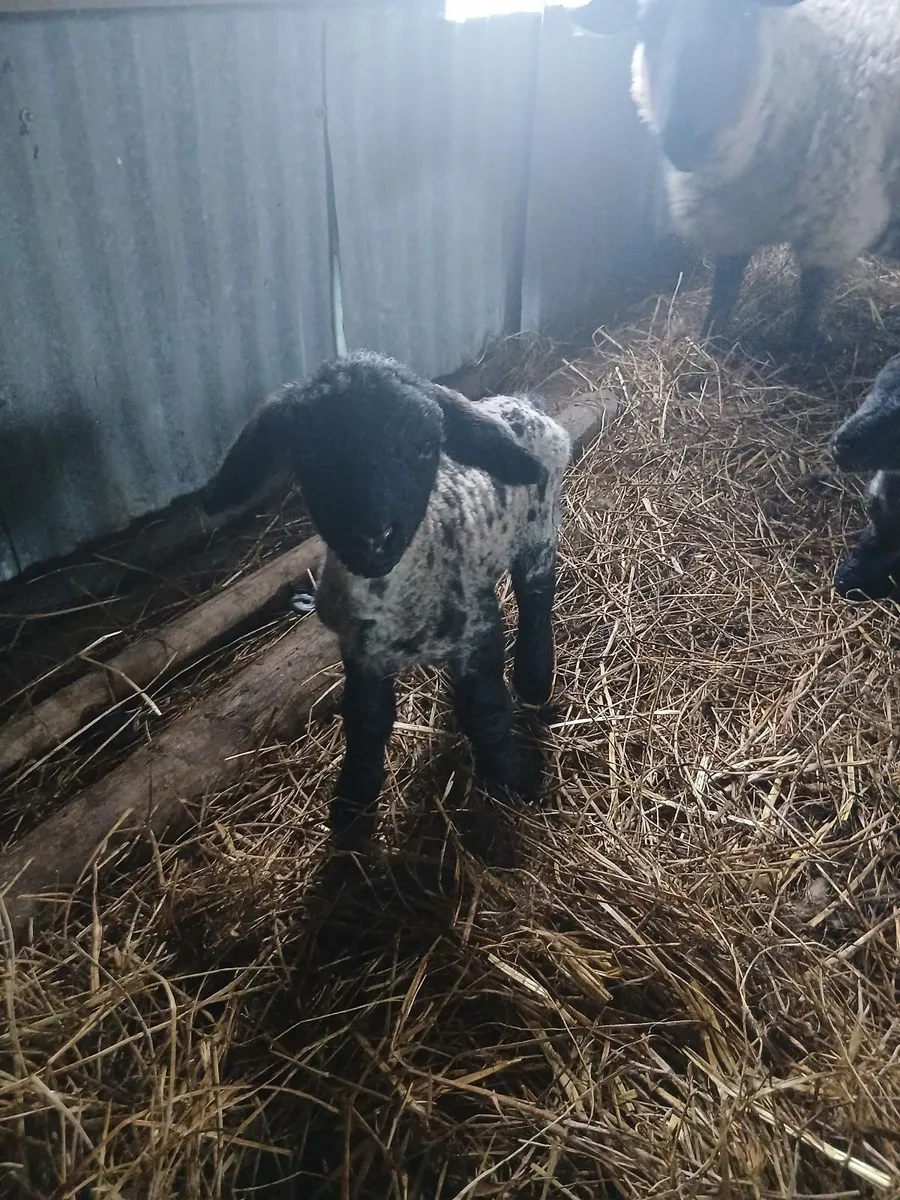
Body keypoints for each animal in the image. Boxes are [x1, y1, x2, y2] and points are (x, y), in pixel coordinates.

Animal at [203, 351, 572, 838]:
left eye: (426, 445)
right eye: (310, 454)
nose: (373, 538)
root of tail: (521, 402)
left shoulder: (477, 631)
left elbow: (486, 708)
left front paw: (511, 776)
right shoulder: (362, 652)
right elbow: (365, 720)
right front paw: (352, 802)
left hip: (540, 527)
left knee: (536, 594)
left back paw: (533, 678)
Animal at [569, 0, 900, 352]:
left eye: (742, 15)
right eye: (647, 24)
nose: (682, 140)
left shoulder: (834, 222)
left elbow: (812, 296)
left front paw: (801, 348)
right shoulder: (726, 220)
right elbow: (724, 287)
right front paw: (709, 340)